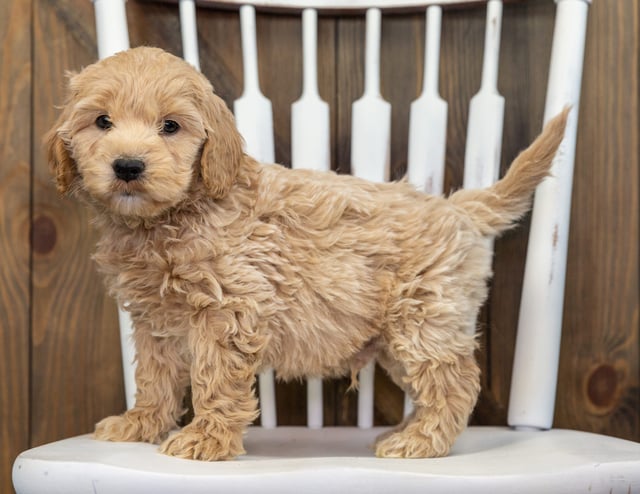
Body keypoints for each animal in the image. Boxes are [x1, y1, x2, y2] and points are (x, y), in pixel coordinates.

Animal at [47, 45, 568, 460]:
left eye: (170, 126)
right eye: (102, 122)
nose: (128, 166)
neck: (172, 218)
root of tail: (458, 207)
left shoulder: (228, 311)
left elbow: (215, 379)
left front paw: (206, 439)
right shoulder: (153, 321)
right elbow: (154, 378)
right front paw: (141, 424)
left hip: (423, 320)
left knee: (453, 383)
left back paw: (420, 441)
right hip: (398, 336)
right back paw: (405, 429)